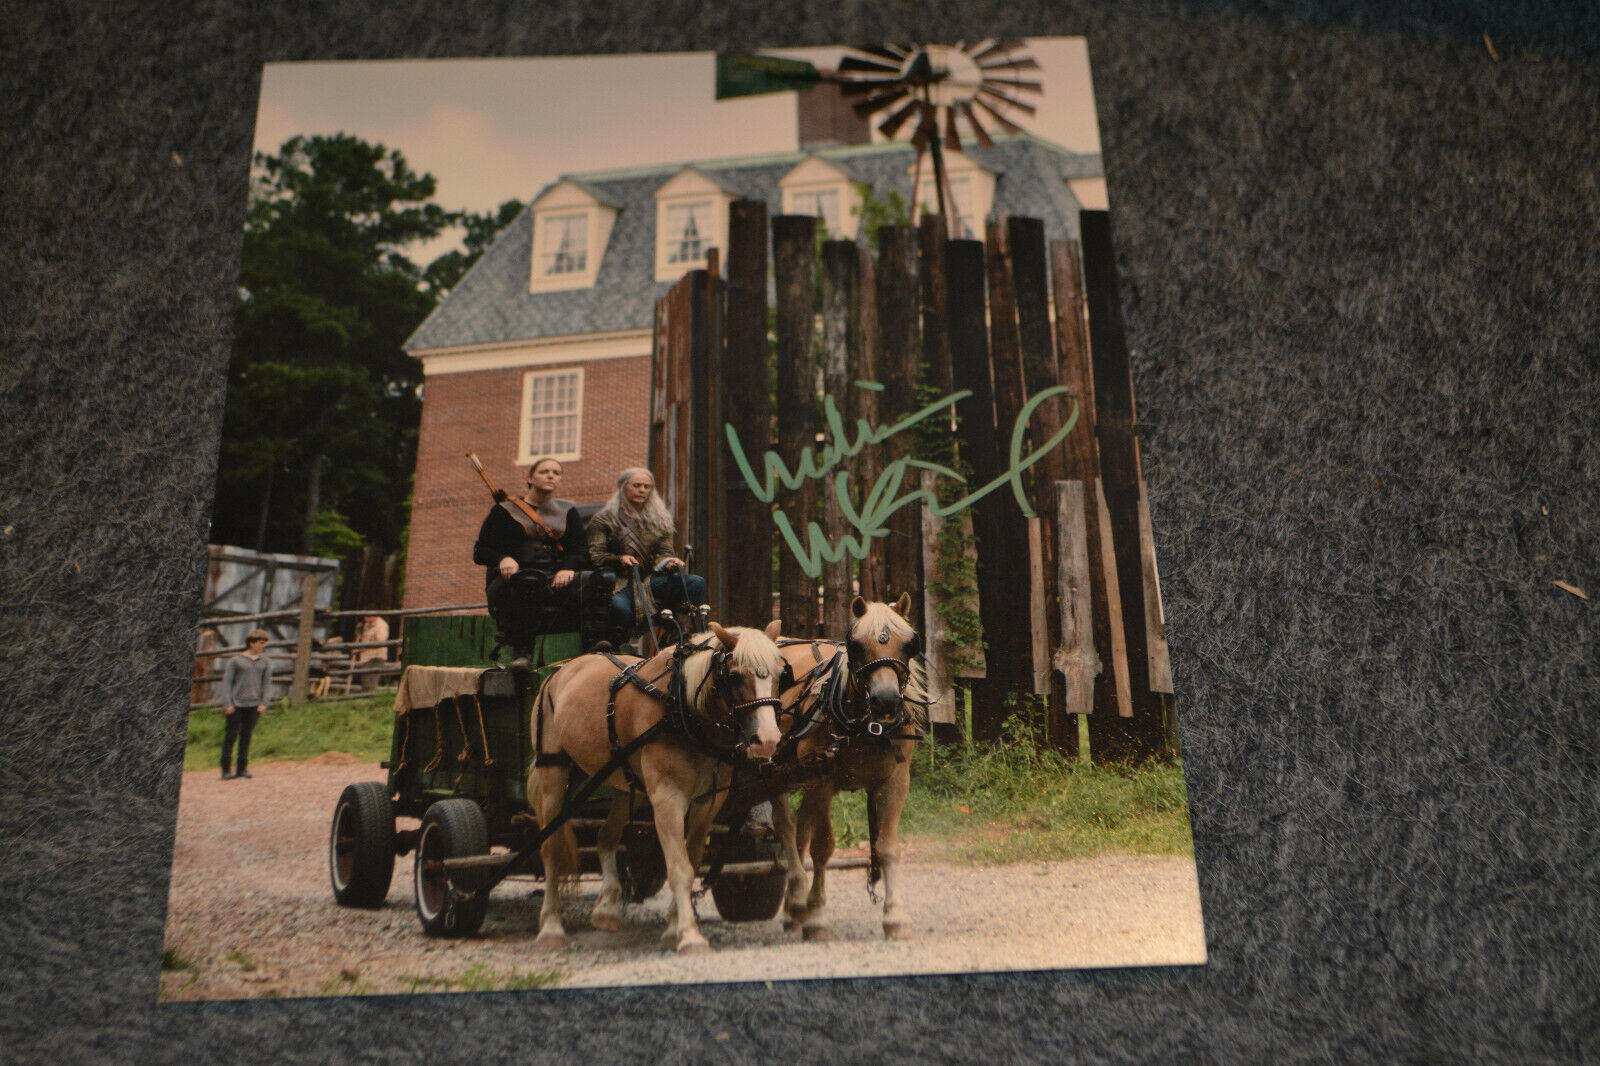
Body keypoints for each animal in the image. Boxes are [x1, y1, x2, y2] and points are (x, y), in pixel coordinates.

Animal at [531, 617, 787, 947]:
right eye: (734, 675)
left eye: (781, 673)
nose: (767, 739)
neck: (681, 707)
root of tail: (560, 672)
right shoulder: (668, 798)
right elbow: (679, 867)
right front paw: (689, 935)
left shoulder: (708, 801)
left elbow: (691, 859)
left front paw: (673, 926)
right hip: (554, 772)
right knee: (551, 848)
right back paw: (551, 926)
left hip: (624, 783)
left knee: (606, 837)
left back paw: (607, 909)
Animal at [771, 598, 934, 941]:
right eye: (856, 644)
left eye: (909, 643)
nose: (886, 700)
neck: (865, 726)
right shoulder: (823, 783)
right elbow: (822, 848)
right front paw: (817, 916)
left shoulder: (895, 783)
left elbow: (887, 848)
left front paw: (895, 916)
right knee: (787, 828)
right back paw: (797, 903)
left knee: (801, 828)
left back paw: (796, 907)